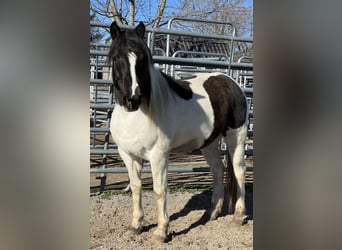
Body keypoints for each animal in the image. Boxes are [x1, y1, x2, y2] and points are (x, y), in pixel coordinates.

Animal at [108, 21, 247, 242]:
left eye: (142, 59)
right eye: (115, 58)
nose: (132, 99)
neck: (136, 117)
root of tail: (231, 82)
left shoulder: (158, 156)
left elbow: (159, 190)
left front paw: (161, 231)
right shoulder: (128, 155)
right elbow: (136, 187)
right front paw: (136, 225)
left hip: (237, 137)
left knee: (239, 170)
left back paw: (239, 216)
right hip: (209, 143)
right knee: (217, 170)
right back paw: (212, 213)